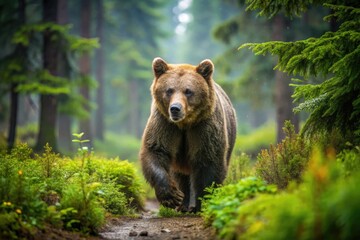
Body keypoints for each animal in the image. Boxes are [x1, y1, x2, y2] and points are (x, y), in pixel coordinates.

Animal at [140, 58, 236, 212]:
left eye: (188, 91)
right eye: (169, 90)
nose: (175, 109)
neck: (185, 124)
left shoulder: (204, 127)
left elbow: (208, 162)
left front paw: (202, 203)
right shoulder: (165, 123)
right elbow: (155, 150)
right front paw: (172, 196)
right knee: (180, 175)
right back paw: (182, 204)